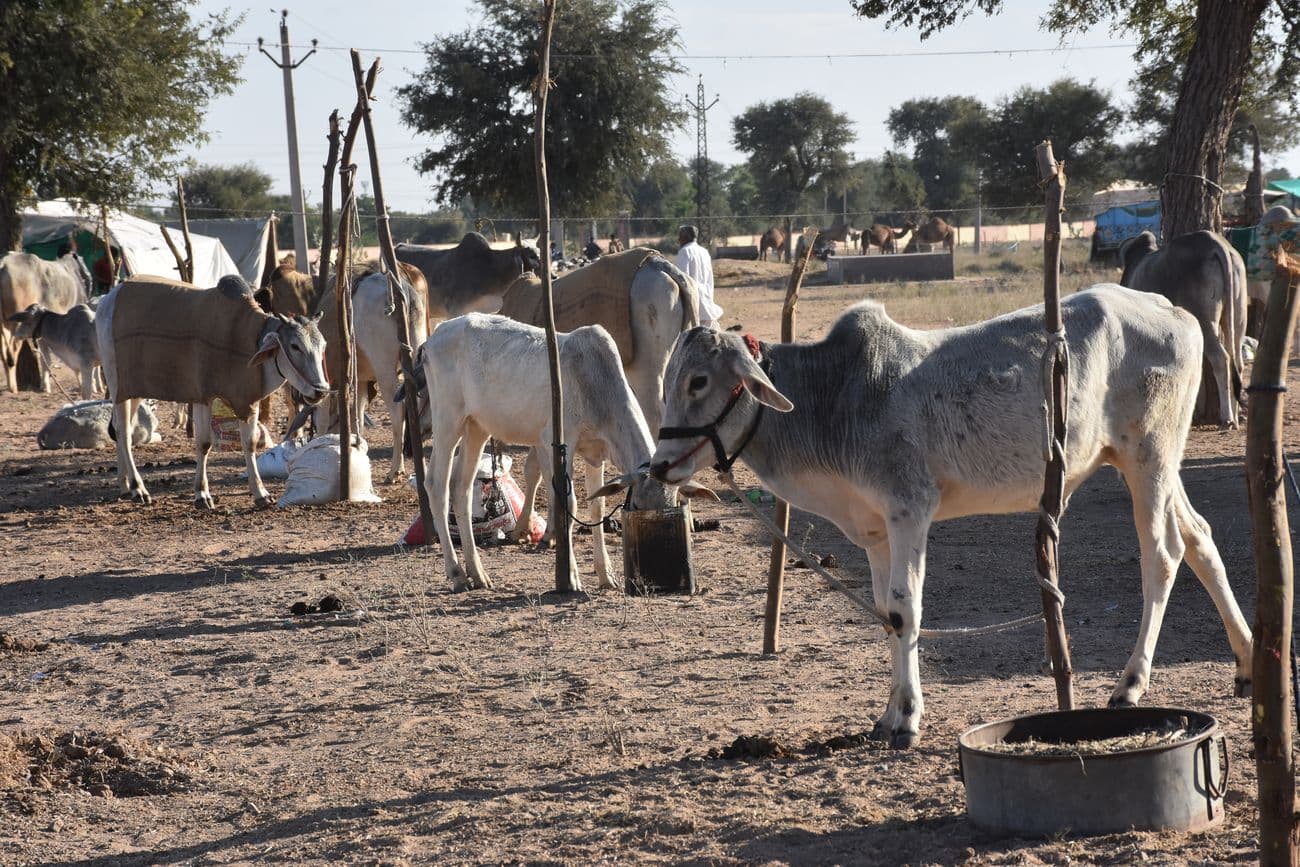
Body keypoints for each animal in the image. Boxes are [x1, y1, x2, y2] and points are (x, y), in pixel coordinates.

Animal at [655, 284, 1253, 748]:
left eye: (698, 382)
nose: (658, 464)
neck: (833, 398)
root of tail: (1171, 308)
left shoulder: (909, 510)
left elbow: (906, 611)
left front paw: (908, 721)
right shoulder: (874, 531)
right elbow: (884, 615)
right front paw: (886, 714)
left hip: (1148, 458)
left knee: (1163, 555)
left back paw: (1130, 684)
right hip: (1156, 464)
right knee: (1200, 539)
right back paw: (1246, 661)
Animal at [1118, 230, 1248, 426]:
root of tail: (1214, 242)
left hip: (1203, 319)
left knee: (1221, 358)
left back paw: (1227, 417)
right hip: (1238, 316)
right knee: (1237, 362)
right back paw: (1235, 414)